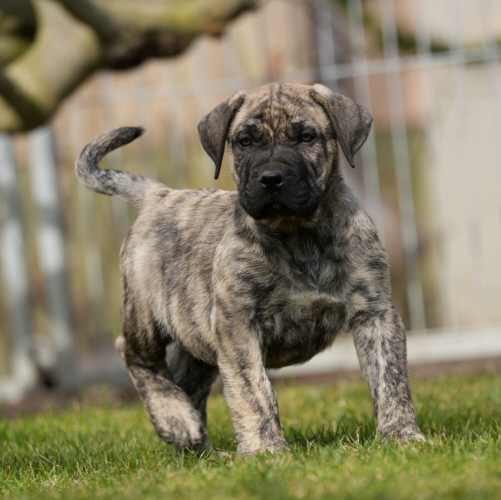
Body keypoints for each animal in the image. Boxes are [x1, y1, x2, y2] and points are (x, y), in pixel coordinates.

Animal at [76, 82, 425, 456]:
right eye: (244, 141)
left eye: (306, 137)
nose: (271, 179)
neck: (299, 236)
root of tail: (160, 195)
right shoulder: (237, 325)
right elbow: (254, 389)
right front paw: (265, 450)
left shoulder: (375, 313)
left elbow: (392, 379)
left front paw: (403, 437)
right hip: (146, 315)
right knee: (135, 354)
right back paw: (176, 419)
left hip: (196, 332)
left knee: (187, 382)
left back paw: (198, 446)